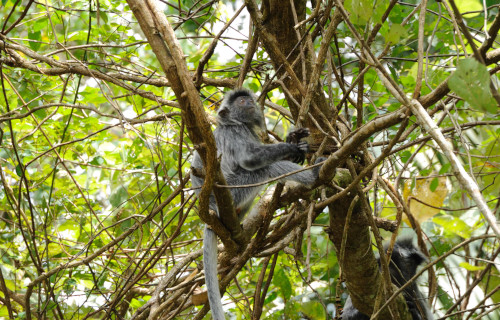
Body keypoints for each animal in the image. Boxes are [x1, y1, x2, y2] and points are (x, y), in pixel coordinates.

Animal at [189, 89, 322, 318]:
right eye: (241, 101)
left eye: (248, 99)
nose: (250, 102)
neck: (237, 123)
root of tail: (210, 208)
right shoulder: (236, 132)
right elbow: (250, 159)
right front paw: (291, 146)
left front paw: (295, 140)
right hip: (234, 190)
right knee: (264, 168)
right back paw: (313, 176)